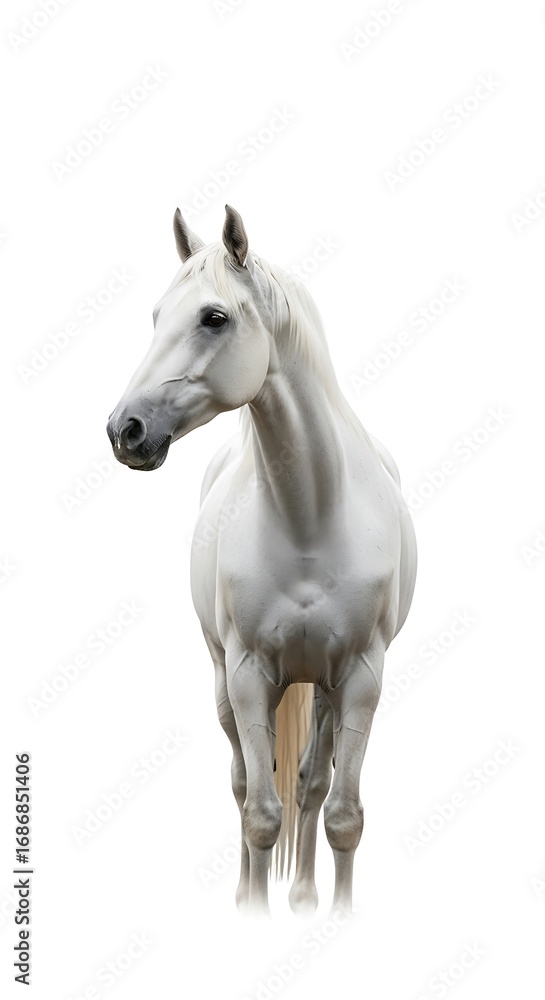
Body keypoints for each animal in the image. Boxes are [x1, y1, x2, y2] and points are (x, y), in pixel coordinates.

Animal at [106, 205, 417, 916]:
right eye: (157, 314)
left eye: (214, 317)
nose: (124, 430)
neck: (311, 516)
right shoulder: (249, 673)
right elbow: (258, 811)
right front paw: (251, 914)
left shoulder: (362, 677)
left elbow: (340, 813)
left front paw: (337, 914)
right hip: (224, 677)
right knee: (243, 783)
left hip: (325, 689)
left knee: (308, 782)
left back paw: (302, 896)